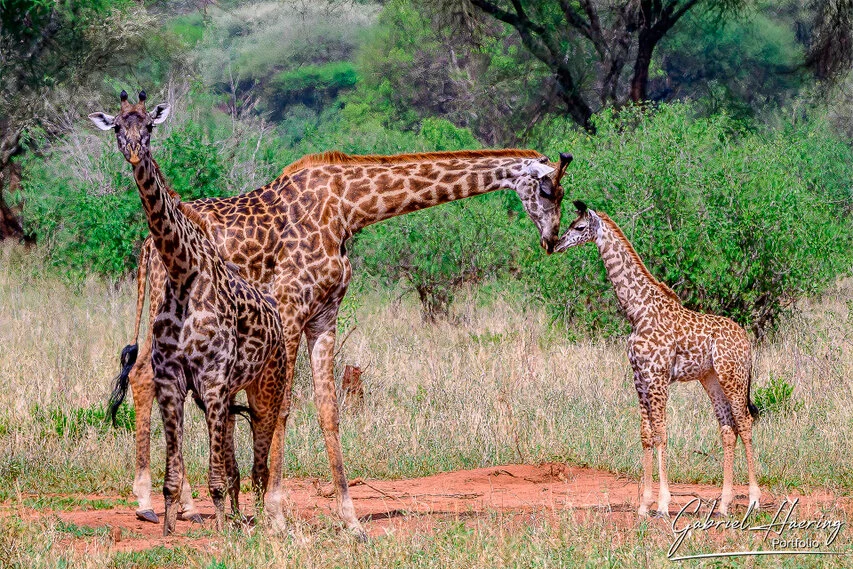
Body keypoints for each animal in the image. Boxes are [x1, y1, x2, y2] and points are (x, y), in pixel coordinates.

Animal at [89, 91, 289, 535]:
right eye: (118, 127)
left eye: (149, 125)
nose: (134, 151)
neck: (182, 273)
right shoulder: (173, 380)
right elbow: (179, 472)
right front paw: (168, 529)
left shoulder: (212, 379)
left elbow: (215, 475)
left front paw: (221, 531)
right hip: (233, 391)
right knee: (240, 461)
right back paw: (240, 515)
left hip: (267, 384)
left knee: (261, 460)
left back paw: (261, 519)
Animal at [107, 138, 574, 537]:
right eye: (548, 189)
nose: (551, 240)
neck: (348, 208)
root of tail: (146, 246)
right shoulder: (289, 307)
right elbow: (282, 408)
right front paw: (275, 515)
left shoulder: (323, 317)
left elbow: (329, 412)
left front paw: (350, 521)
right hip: (171, 319)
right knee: (146, 377)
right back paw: (154, 503)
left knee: (147, 378)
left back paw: (181, 505)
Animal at [555, 201, 760, 517]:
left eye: (578, 227)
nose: (557, 244)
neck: (637, 311)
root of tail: (747, 341)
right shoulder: (639, 377)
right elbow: (646, 434)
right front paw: (643, 505)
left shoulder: (658, 376)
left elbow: (662, 433)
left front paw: (663, 503)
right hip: (711, 379)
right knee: (728, 429)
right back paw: (724, 504)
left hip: (733, 377)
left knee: (746, 423)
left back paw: (753, 500)